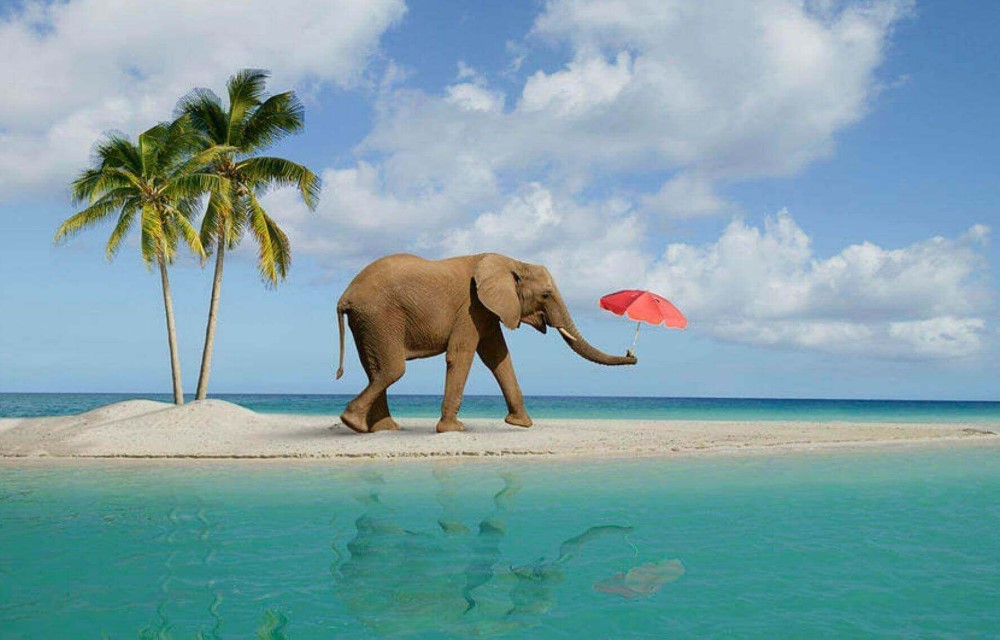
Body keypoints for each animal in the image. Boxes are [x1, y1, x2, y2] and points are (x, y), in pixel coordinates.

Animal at [335, 253, 637, 434]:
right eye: (546, 295)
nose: (632, 355)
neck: (512, 261)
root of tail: (345, 295)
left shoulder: (488, 310)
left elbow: (498, 357)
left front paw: (521, 425)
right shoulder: (471, 307)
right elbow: (462, 354)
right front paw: (453, 430)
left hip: (367, 321)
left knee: (374, 369)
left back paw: (382, 428)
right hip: (379, 316)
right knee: (393, 369)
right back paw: (353, 423)